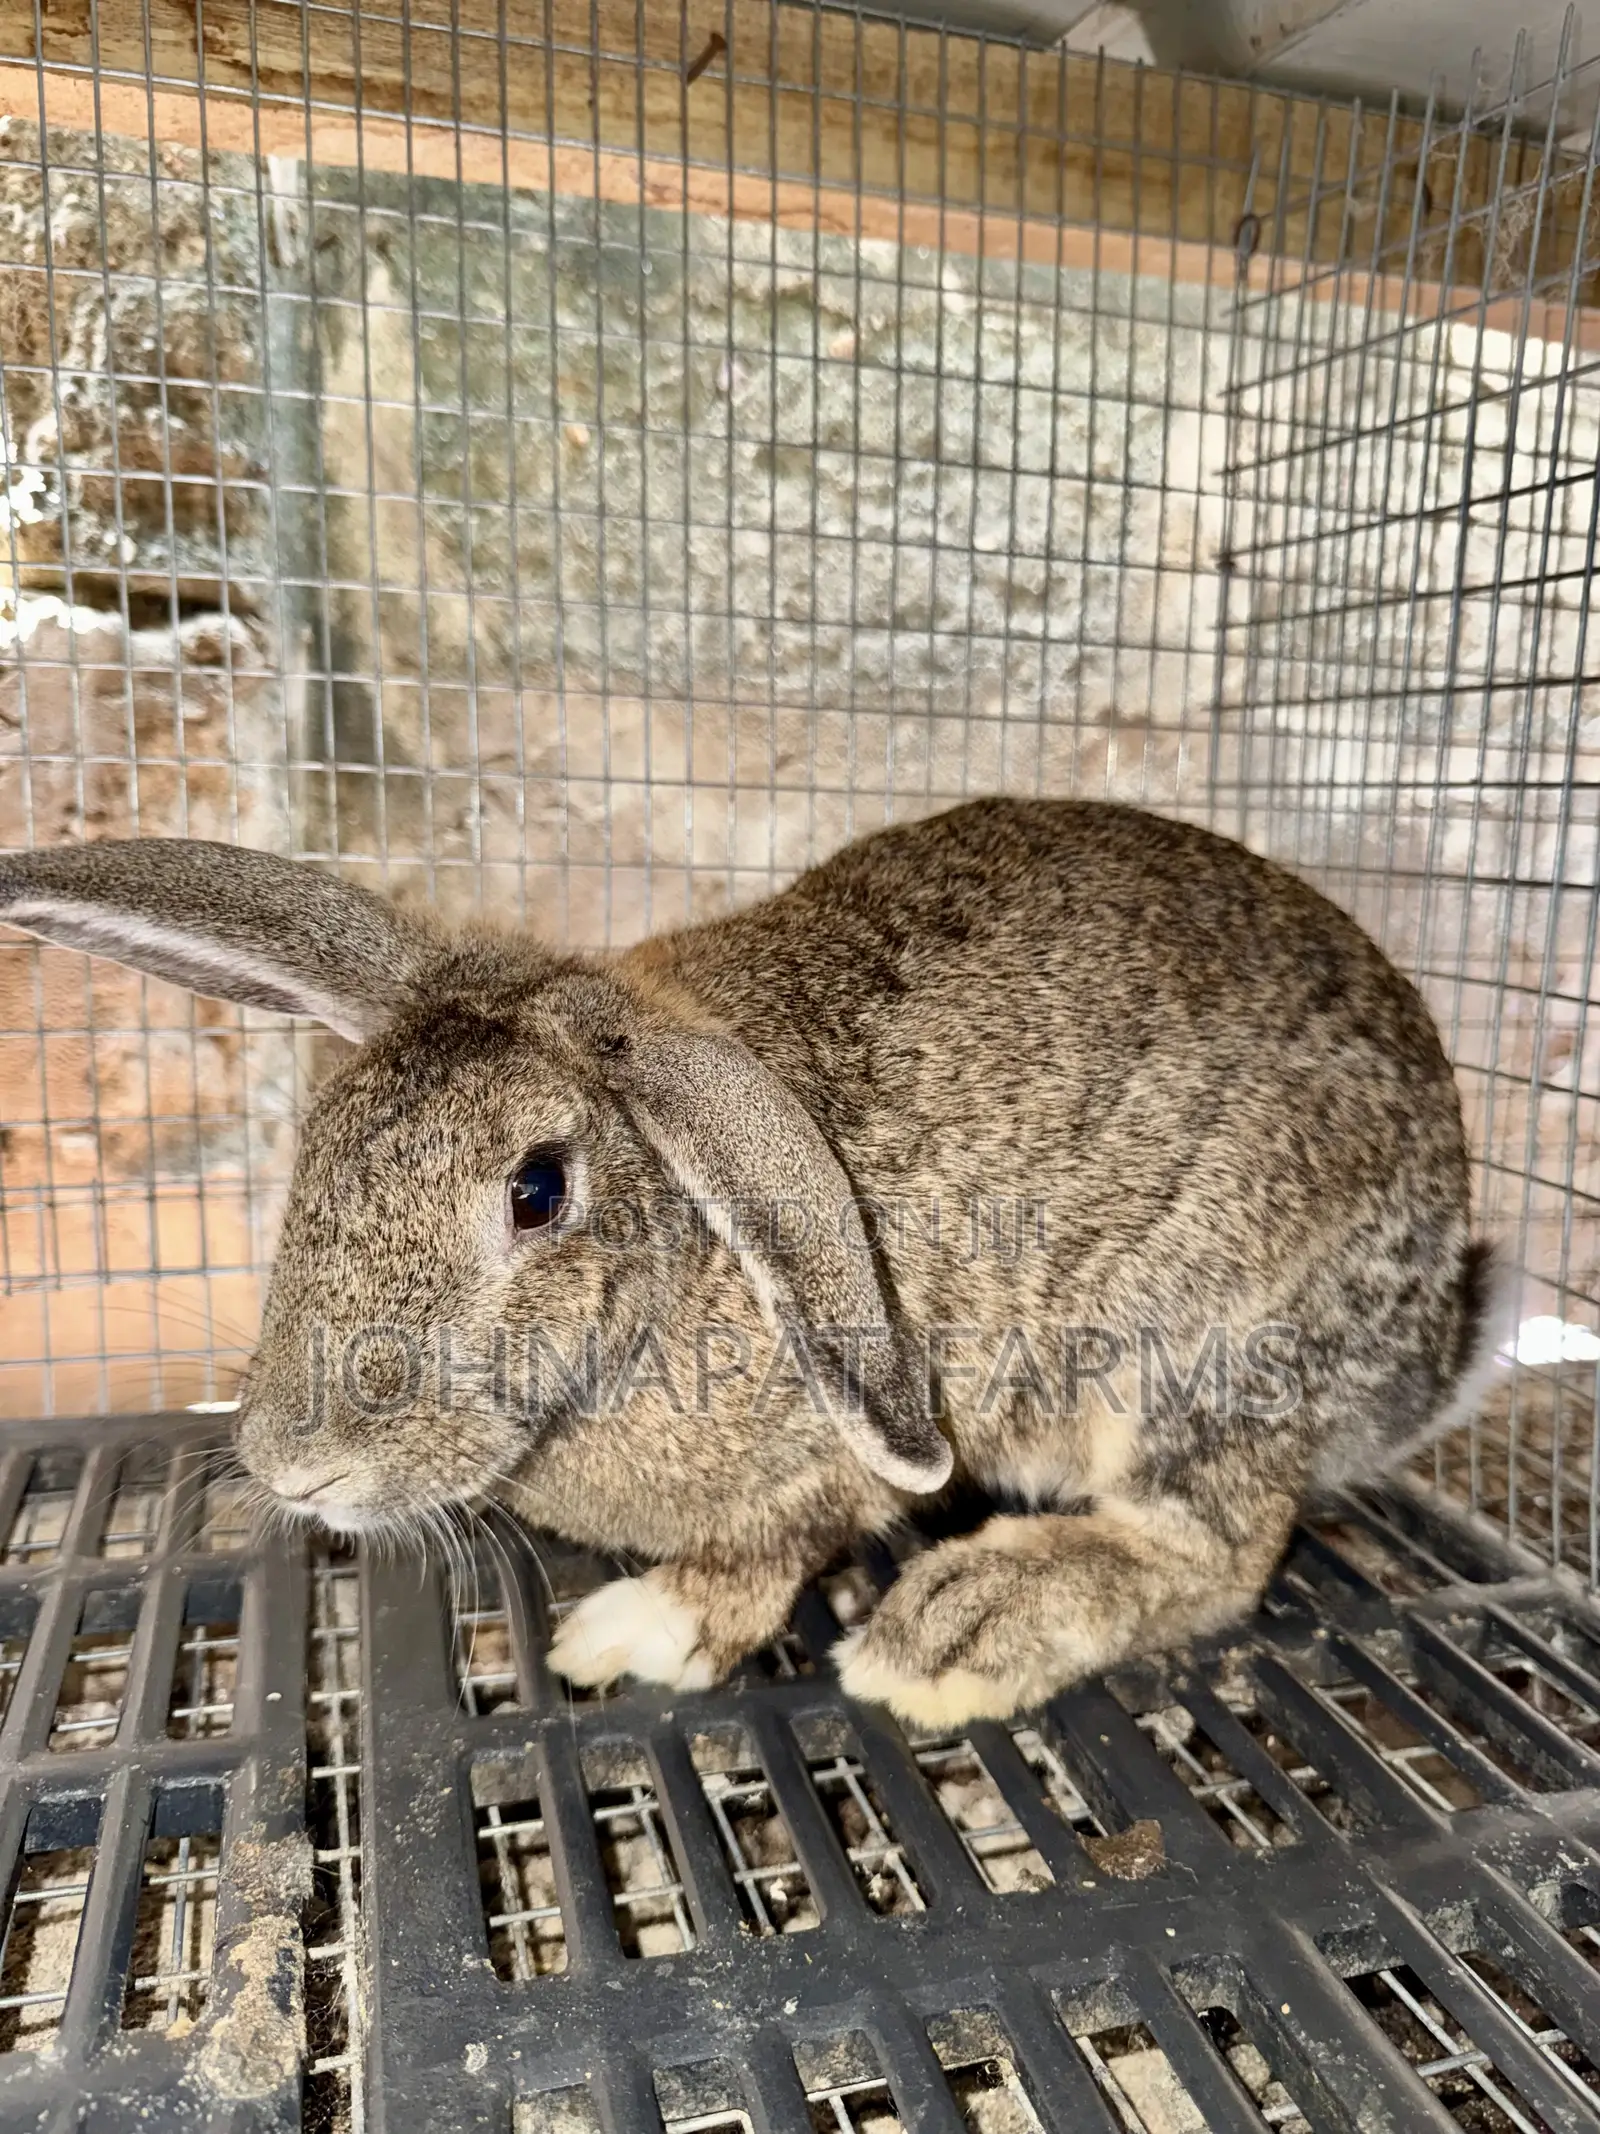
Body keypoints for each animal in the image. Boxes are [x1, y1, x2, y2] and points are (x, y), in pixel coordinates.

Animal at [0, 799, 1505, 1726]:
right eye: (316, 1146)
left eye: (537, 1191)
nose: (293, 1463)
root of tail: (1426, 1330)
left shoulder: (825, 1465)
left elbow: (762, 1554)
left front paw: (626, 1635)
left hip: (1189, 1349)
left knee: (1216, 1552)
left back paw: (958, 1627)